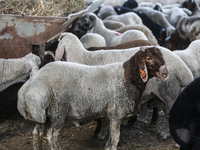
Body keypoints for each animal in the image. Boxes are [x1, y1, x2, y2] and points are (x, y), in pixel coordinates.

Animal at [17, 47, 168, 150]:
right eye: (148, 58)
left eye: (161, 55)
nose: (166, 73)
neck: (128, 77)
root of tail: (30, 84)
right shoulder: (116, 114)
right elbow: (115, 140)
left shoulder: (111, 114)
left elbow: (110, 140)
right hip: (57, 110)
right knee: (52, 136)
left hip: (41, 112)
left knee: (37, 133)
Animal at [54, 32, 194, 139]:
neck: (83, 58)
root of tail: (184, 71)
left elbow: (102, 119)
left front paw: (100, 134)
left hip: (169, 91)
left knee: (169, 114)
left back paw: (165, 134)